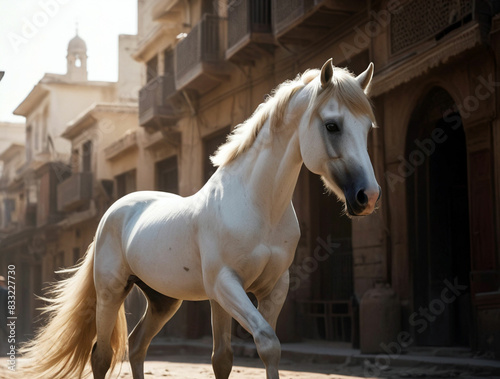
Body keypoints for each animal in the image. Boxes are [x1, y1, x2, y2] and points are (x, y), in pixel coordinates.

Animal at [19, 58, 378, 378]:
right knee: (102, 355)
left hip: (163, 300)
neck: (258, 206)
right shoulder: (225, 285)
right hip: (111, 291)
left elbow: (226, 358)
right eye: (332, 125)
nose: (368, 196)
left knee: (137, 345)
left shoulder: (269, 290)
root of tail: (114, 211)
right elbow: (266, 342)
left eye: (367, 128)